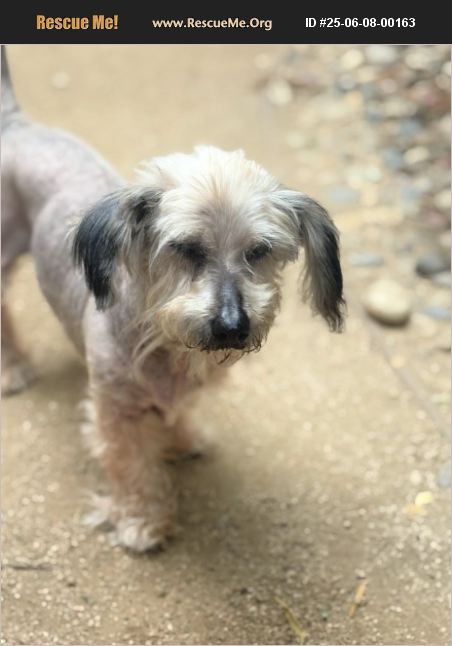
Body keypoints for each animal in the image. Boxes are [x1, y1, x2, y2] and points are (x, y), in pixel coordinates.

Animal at [1, 49, 345, 552]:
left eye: (259, 250)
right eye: (185, 248)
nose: (232, 326)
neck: (164, 344)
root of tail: (17, 124)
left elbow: (177, 415)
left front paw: (183, 439)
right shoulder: (116, 413)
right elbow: (131, 466)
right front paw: (141, 521)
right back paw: (13, 367)